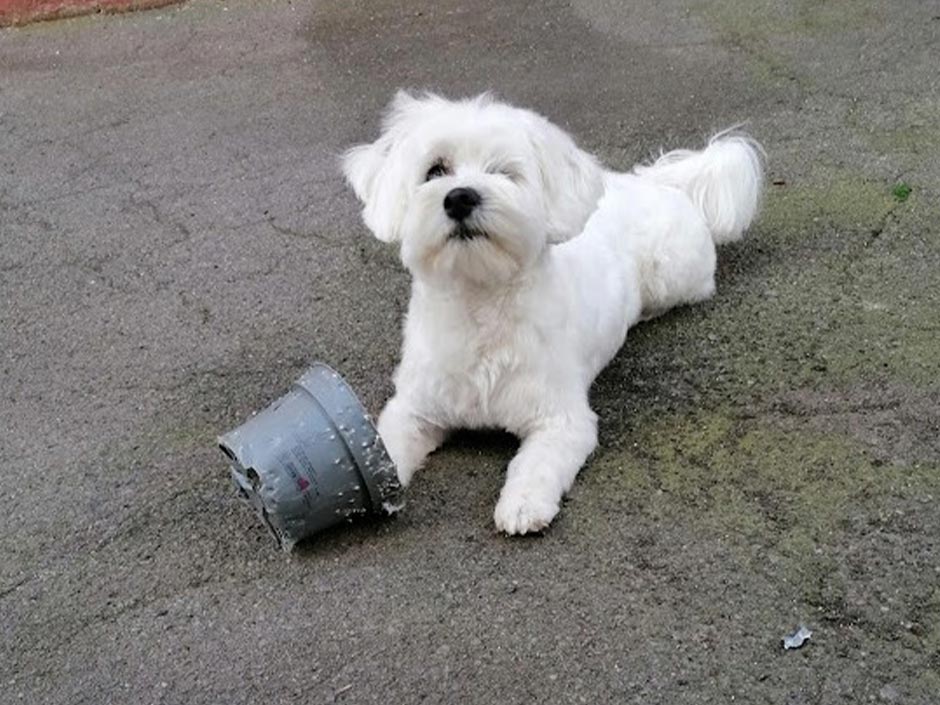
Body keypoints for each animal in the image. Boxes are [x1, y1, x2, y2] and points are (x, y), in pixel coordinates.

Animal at [346, 92, 764, 532]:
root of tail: (657, 182)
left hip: (675, 275)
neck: (480, 305)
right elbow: (386, 446)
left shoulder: (562, 419)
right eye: (435, 170)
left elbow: (538, 463)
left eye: (504, 172)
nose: (460, 197)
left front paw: (523, 503)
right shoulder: (413, 408)